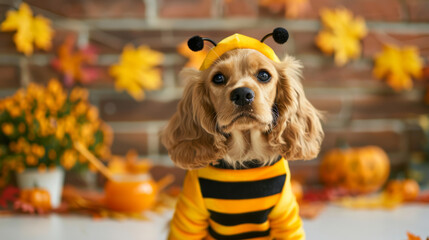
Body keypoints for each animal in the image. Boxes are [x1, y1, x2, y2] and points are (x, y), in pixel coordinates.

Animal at [162, 28, 322, 240]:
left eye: (264, 75)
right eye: (218, 78)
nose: (242, 94)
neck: (245, 156)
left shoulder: (286, 217)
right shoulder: (188, 216)